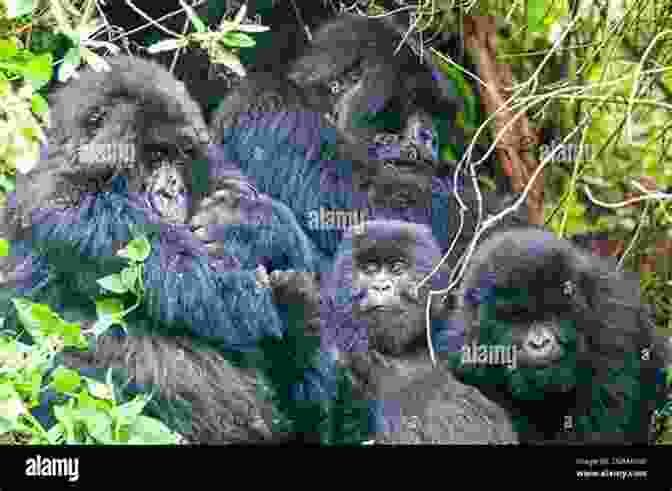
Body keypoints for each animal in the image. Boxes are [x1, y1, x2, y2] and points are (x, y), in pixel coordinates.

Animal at [0, 55, 334, 444]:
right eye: (157, 154)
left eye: (181, 155)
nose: (171, 191)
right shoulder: (65, 205)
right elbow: (227, 297)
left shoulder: (218, 166)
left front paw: (252, 224)